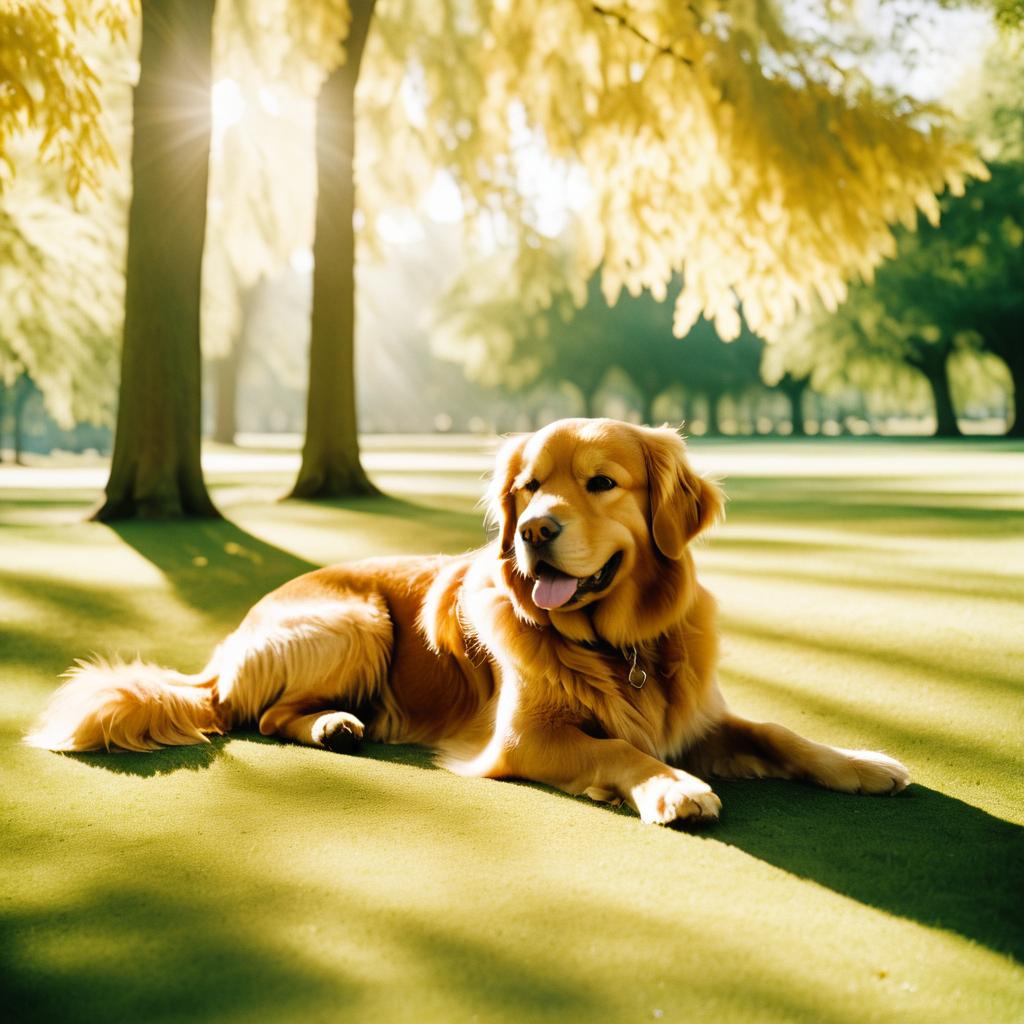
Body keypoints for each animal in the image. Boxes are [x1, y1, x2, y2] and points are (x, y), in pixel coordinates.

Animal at [24, 415, 909, 823]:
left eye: (601, 482)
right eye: (528, 486)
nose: (534, 531)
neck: (615, 645)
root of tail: (221, 652)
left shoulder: (698, 713)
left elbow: (782, 735)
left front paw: (861, 762)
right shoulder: (525, 737)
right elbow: (619, 747)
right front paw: (671, 787)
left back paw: (338, 725)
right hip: (359, 618)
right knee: (264, 714)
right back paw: (332, 724)